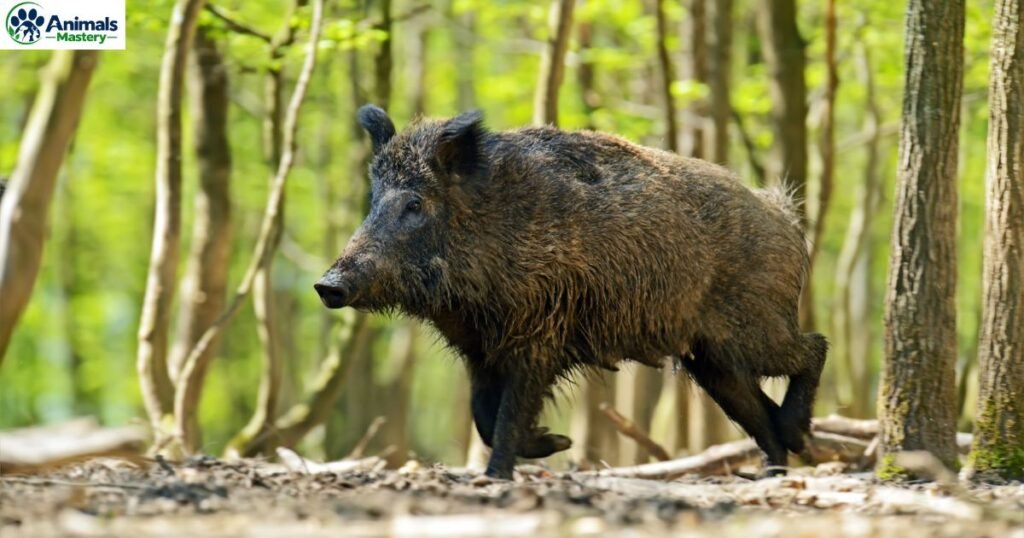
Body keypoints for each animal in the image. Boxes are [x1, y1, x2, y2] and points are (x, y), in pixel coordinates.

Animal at [315, 105, 828, 479]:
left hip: (753, 328)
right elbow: (483, 414)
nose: (326, 285)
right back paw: (775, 468)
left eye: (415, 203)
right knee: (756, 410)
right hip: (711, 358)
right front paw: (553, 444)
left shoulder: (539, 336)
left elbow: (508, 414)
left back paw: (795, 440)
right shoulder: (480, 349)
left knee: (813, 348)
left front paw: (501, 475)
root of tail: (785, 215)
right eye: (373, 200)